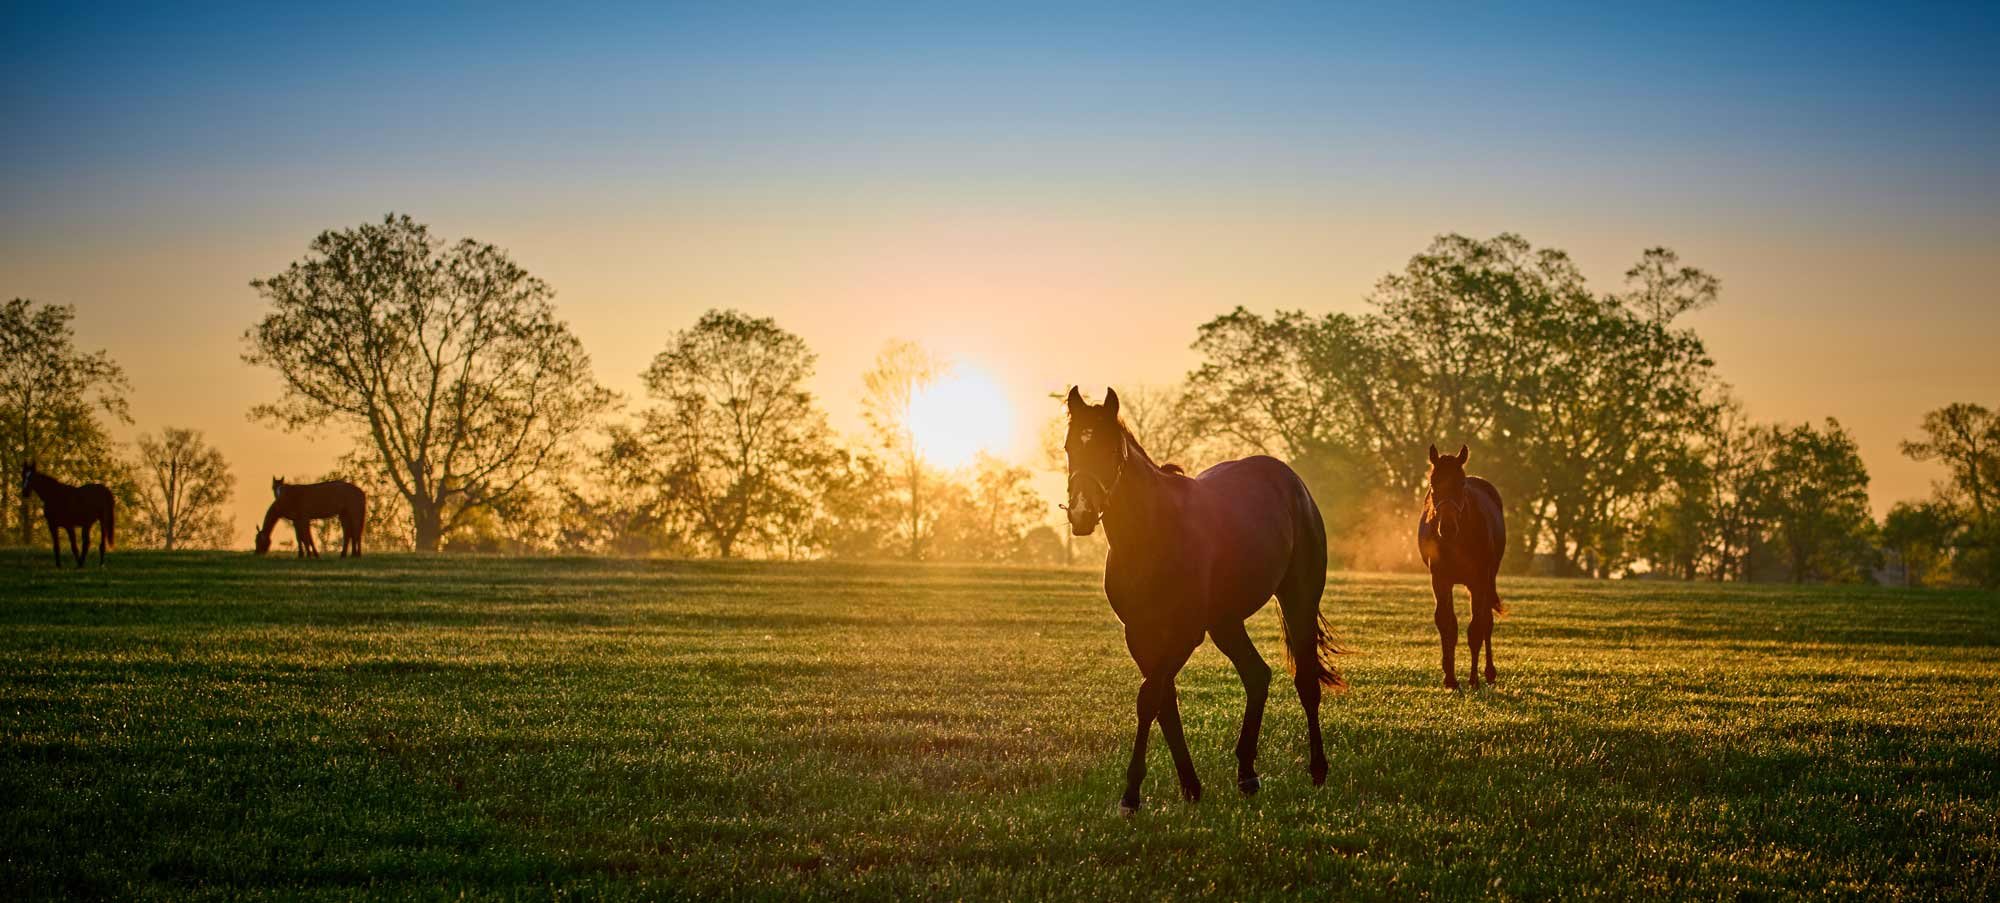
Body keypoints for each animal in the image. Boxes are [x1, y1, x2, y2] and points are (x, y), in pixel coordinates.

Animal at [1063, 387, 1343, 815]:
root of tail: (1292, 483)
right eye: (1069, 448)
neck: (1152, 532)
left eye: (1109, 450)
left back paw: (1317, 770)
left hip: (1298, 600)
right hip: (1226, 622)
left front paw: (1131, 794)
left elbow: (1150, 697)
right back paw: (1247, 774)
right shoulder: (1139, 634)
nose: (1080, 512)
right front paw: (1190, 786)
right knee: (1257, 675)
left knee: (1306, 680)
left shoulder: (1185, 633)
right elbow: (1164, 701)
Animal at [1416, 444, 1507, 690]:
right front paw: (1450, 677)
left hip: (1488, 579)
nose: (1447, 527)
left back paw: (1489, 673)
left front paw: (1473, 679)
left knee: (1486, 621)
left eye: (1461, 483)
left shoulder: (1478, 580)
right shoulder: (1440, 580)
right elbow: (1447, 624)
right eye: (1433, 483)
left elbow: (1476, 628)